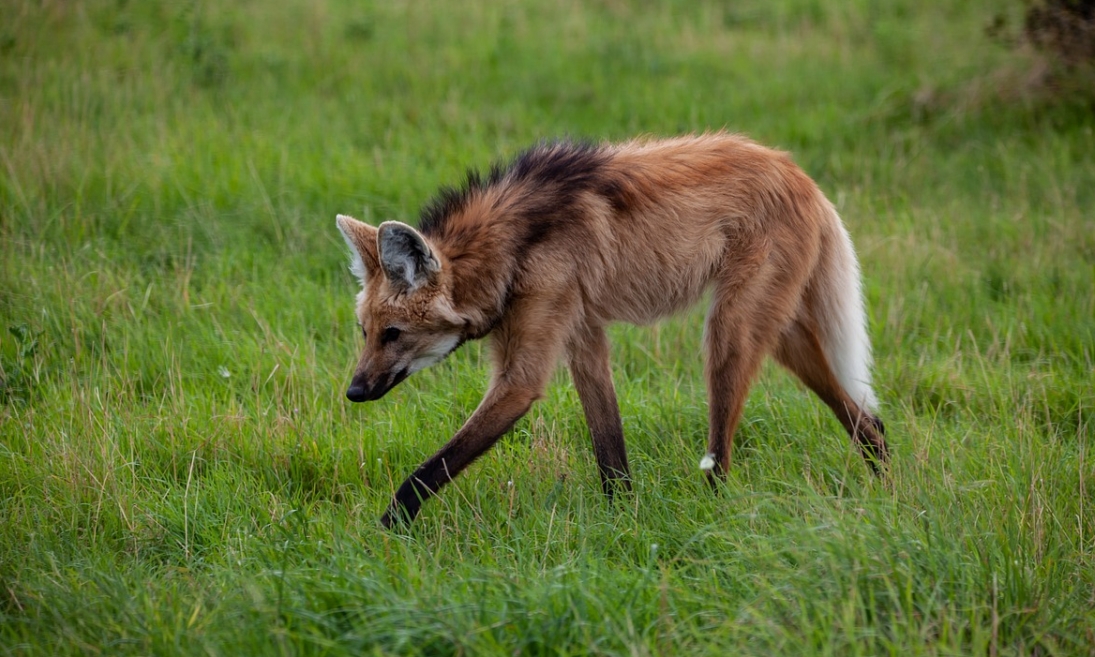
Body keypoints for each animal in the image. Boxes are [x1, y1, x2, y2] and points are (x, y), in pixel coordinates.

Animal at [335, 133, 889, 527]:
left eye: (393, 334)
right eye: (364, 332)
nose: (353, 392)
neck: (511, 249)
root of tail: (799, 173)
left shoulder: (524, 372)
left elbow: (429, 470)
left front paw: (384, 533)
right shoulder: (582, 333)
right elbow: (609, 450)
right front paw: (623, 519)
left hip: (730, 332)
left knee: (724, 453)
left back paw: (715, 515)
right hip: (782, 332)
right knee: (866, 418)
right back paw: (887, 485)